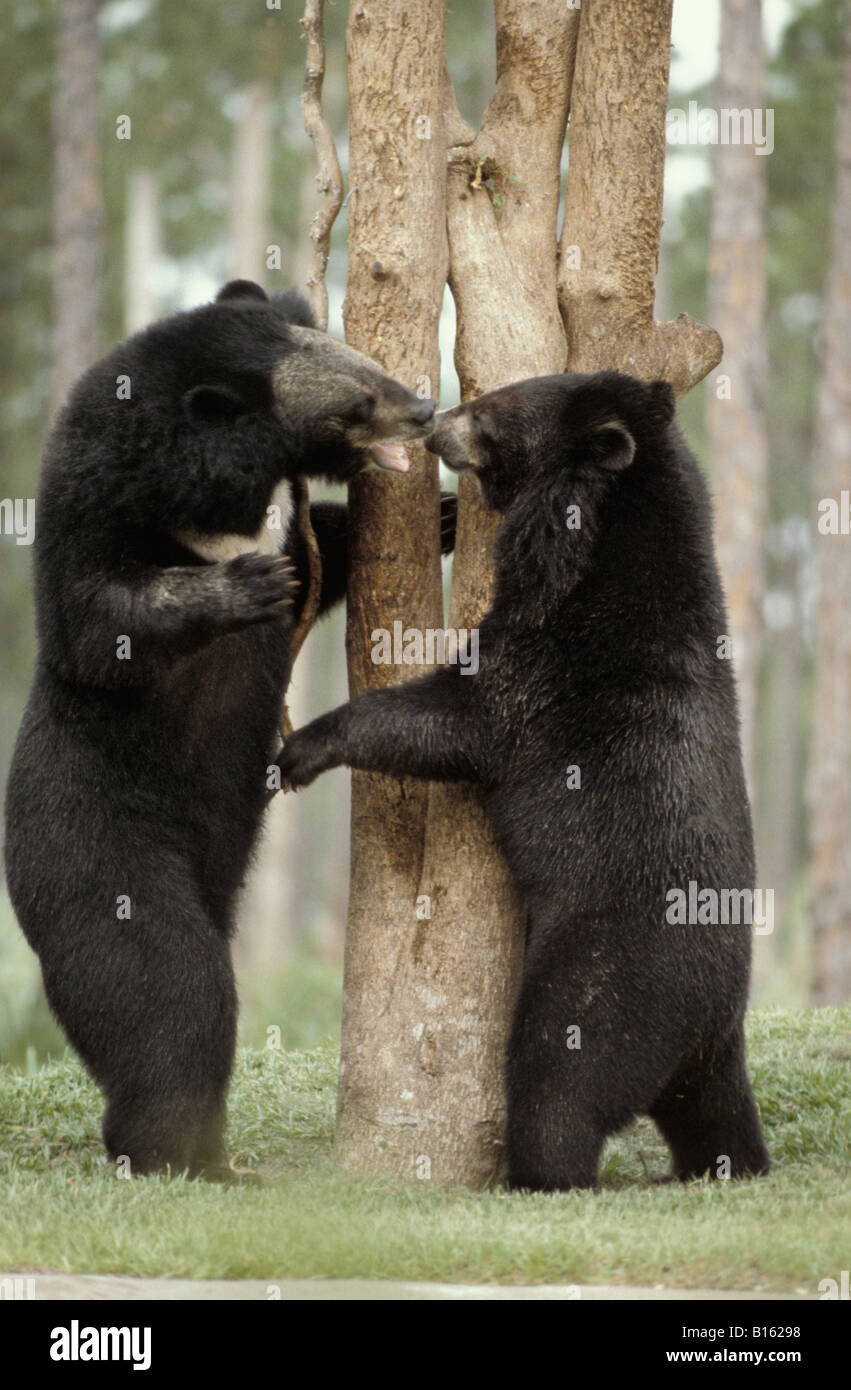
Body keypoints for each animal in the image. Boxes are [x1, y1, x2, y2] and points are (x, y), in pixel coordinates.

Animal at [3, 282, 456, 1184]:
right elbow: (104, 621)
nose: (424, 411)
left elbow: (327, 553)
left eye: (370, 364)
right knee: (167, 984)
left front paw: (451, 514)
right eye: (358, 402)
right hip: (82, 833)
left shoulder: (283, 523)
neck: (207, 498)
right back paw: (174, 1151)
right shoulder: (95, 528)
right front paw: (247, 585)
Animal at [279, 372, 773, 1195]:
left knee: (556, 1082)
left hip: (606, 975)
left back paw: (538, 1176)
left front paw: (298, 752)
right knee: (717, 1118)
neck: (596, 550)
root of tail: (709, 1025)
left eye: (493, 411)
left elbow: (452, 720)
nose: (435, 422)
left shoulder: (548, 667)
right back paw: (733, 1163)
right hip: (709, 1061)